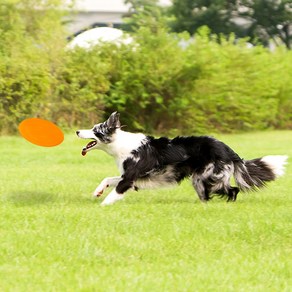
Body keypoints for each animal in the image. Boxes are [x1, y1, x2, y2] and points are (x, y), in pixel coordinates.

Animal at [76, 112, 288, 205]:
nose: (77, 131)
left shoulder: (129, 178)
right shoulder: (129, 176)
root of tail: (229, 150)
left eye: (95, 130)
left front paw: (102, 206)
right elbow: (107, 179)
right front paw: (97, 191)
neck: (120, 145)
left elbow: (114, 193)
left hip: (206, 176)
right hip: (201, 180)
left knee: (232, 190)